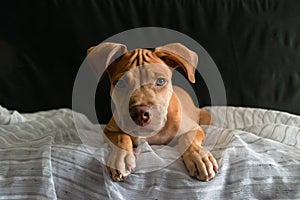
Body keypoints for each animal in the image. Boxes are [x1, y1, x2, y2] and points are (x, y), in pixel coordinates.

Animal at [86, 43, 218, 182]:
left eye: (160, 81)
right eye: (120, 83)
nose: (139, 113)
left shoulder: (194, 128)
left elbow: (187, 139)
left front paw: (199, 158)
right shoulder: (108, 130)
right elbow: (121, 137)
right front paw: (120, 158)